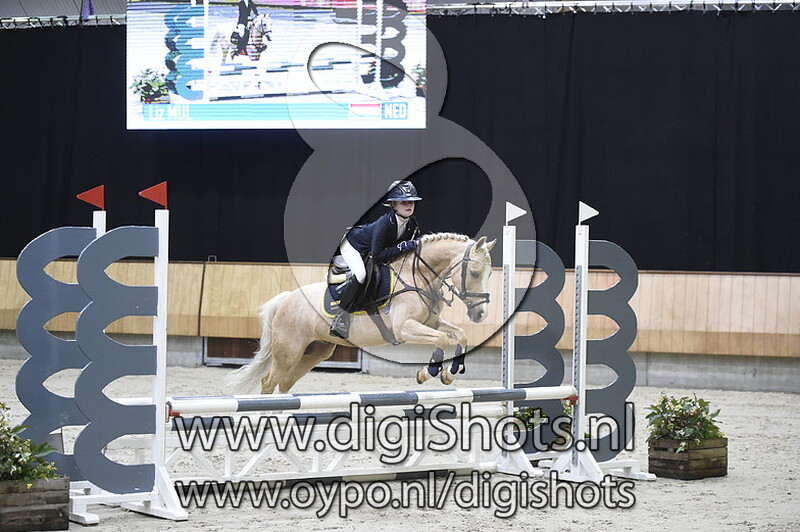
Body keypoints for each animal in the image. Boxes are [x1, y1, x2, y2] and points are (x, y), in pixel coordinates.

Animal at [225, 234, 497, 395]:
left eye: (490, 274)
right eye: (474, 273)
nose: (481, 314)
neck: (418, 277)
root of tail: (287, 298)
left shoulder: (431, 322)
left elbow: (459, 335)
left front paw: (449, 374)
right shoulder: (405, 328)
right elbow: (442, 340)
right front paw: (426, 373)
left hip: (316, 350)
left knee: (285, 383)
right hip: (289, 351)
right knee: (269, 382)